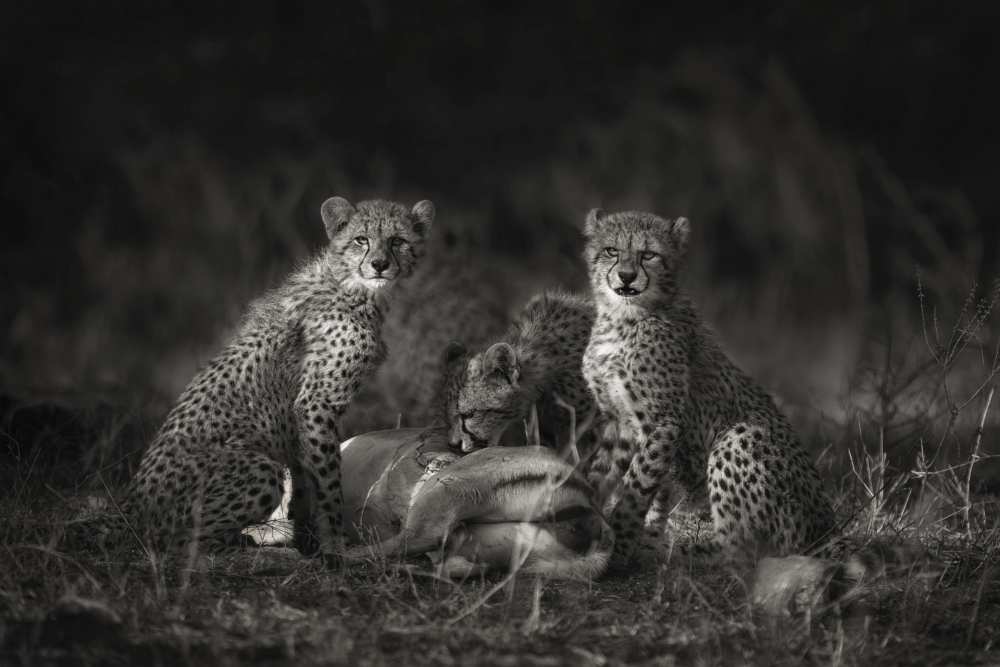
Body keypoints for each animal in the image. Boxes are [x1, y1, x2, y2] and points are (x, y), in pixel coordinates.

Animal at [117, 196, 435, 565]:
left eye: (397, 240)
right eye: (361, 240)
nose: (380, 264)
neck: (354, 287)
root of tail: (132, 506)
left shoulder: (300, 422)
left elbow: (304, 479)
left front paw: (307, 538)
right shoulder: (316, 403)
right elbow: (328, 481)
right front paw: (334, 545)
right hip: (258, 470)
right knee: (183, 545)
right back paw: (267, 555)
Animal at [580, 207, 837, 570]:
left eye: (649, 255)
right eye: (612, 250)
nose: (627, 277)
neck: (622, 318)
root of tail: (826, 527)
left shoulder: (663, 421)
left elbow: (637, 486)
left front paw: (619, 550)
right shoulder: (619, 420)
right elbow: (602, 475)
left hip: (739, 437)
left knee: (744, 552)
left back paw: (677, 553)